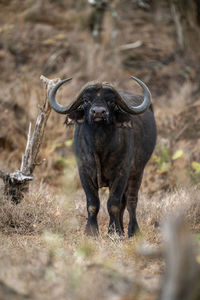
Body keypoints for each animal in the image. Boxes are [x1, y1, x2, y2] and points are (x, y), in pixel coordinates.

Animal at [48, 77, 156, 237]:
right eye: (86, 100)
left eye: (110, 101)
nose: (98, 112)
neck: (100, 146)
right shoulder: (84, 173)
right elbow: (93, 203)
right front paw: (91, 231)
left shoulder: (121, 173)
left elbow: (113, 204)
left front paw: (114, 232)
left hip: (138, 171)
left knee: (131, 201)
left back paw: (132, 231)